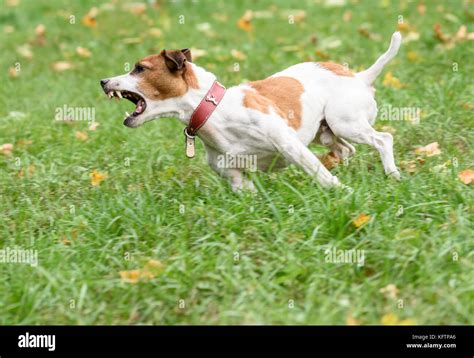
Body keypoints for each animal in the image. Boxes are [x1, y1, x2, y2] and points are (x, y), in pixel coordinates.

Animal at [102, 32, 402, 192]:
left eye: (139, 69)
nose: (103, 81)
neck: (214, 112)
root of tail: (359, 77)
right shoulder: (233, 175)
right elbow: (247, 192)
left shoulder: (289, 145)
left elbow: (320, 174)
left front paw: (343, 192)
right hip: (325, 133)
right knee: (346, 150)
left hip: (344, 122)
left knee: (382, 139)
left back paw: (392, 174)